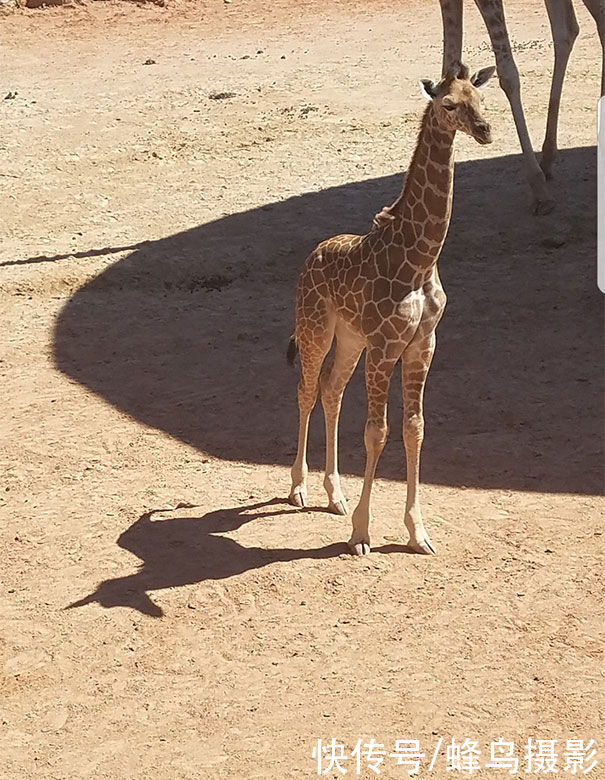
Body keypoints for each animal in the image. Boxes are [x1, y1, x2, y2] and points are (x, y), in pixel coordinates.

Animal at [286, 62, 490, 556]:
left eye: (480, 98)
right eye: (448, 103)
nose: (484, 130)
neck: (420, 259)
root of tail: (310, 257)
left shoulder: (422, 344)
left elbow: (414, 428)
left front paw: (418, 532)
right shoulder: (384, 346)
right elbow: (375, 432)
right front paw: (361, 532)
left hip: (349, 339)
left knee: (331, 391)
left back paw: (334, 495)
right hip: (315, 328)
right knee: (306, 389)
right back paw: (299, 487)